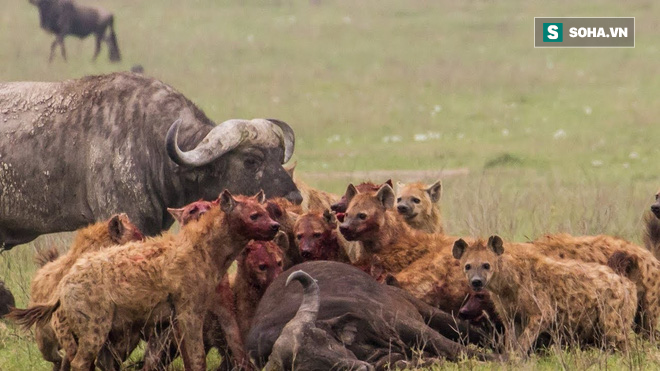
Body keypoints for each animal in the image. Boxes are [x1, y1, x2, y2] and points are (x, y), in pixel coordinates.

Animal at [248, 260, 500, 370]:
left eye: (326, 339)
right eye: (309, 368)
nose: (360, 368)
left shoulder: (397, 322)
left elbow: (452, 347)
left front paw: (503, 359)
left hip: (428, 312)